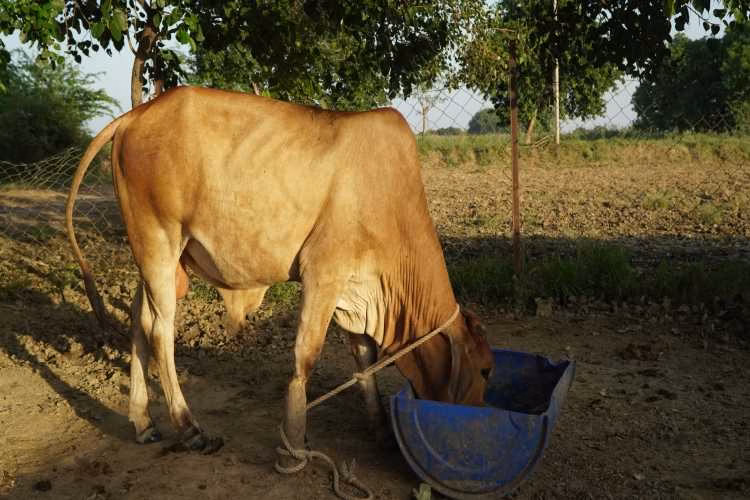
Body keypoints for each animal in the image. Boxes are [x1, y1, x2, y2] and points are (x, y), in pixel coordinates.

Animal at [66, 86, 494, 458]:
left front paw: (380, 430)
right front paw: (295, 436)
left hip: (157, 256)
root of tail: (136, 115)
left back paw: (143, 422)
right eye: (486, 370)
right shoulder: (323, 270)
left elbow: (364, 359)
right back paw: (189, 428)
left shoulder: (356, 286)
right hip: (157, 238)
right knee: (159, 330)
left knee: (139, 321)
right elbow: (307, 355)